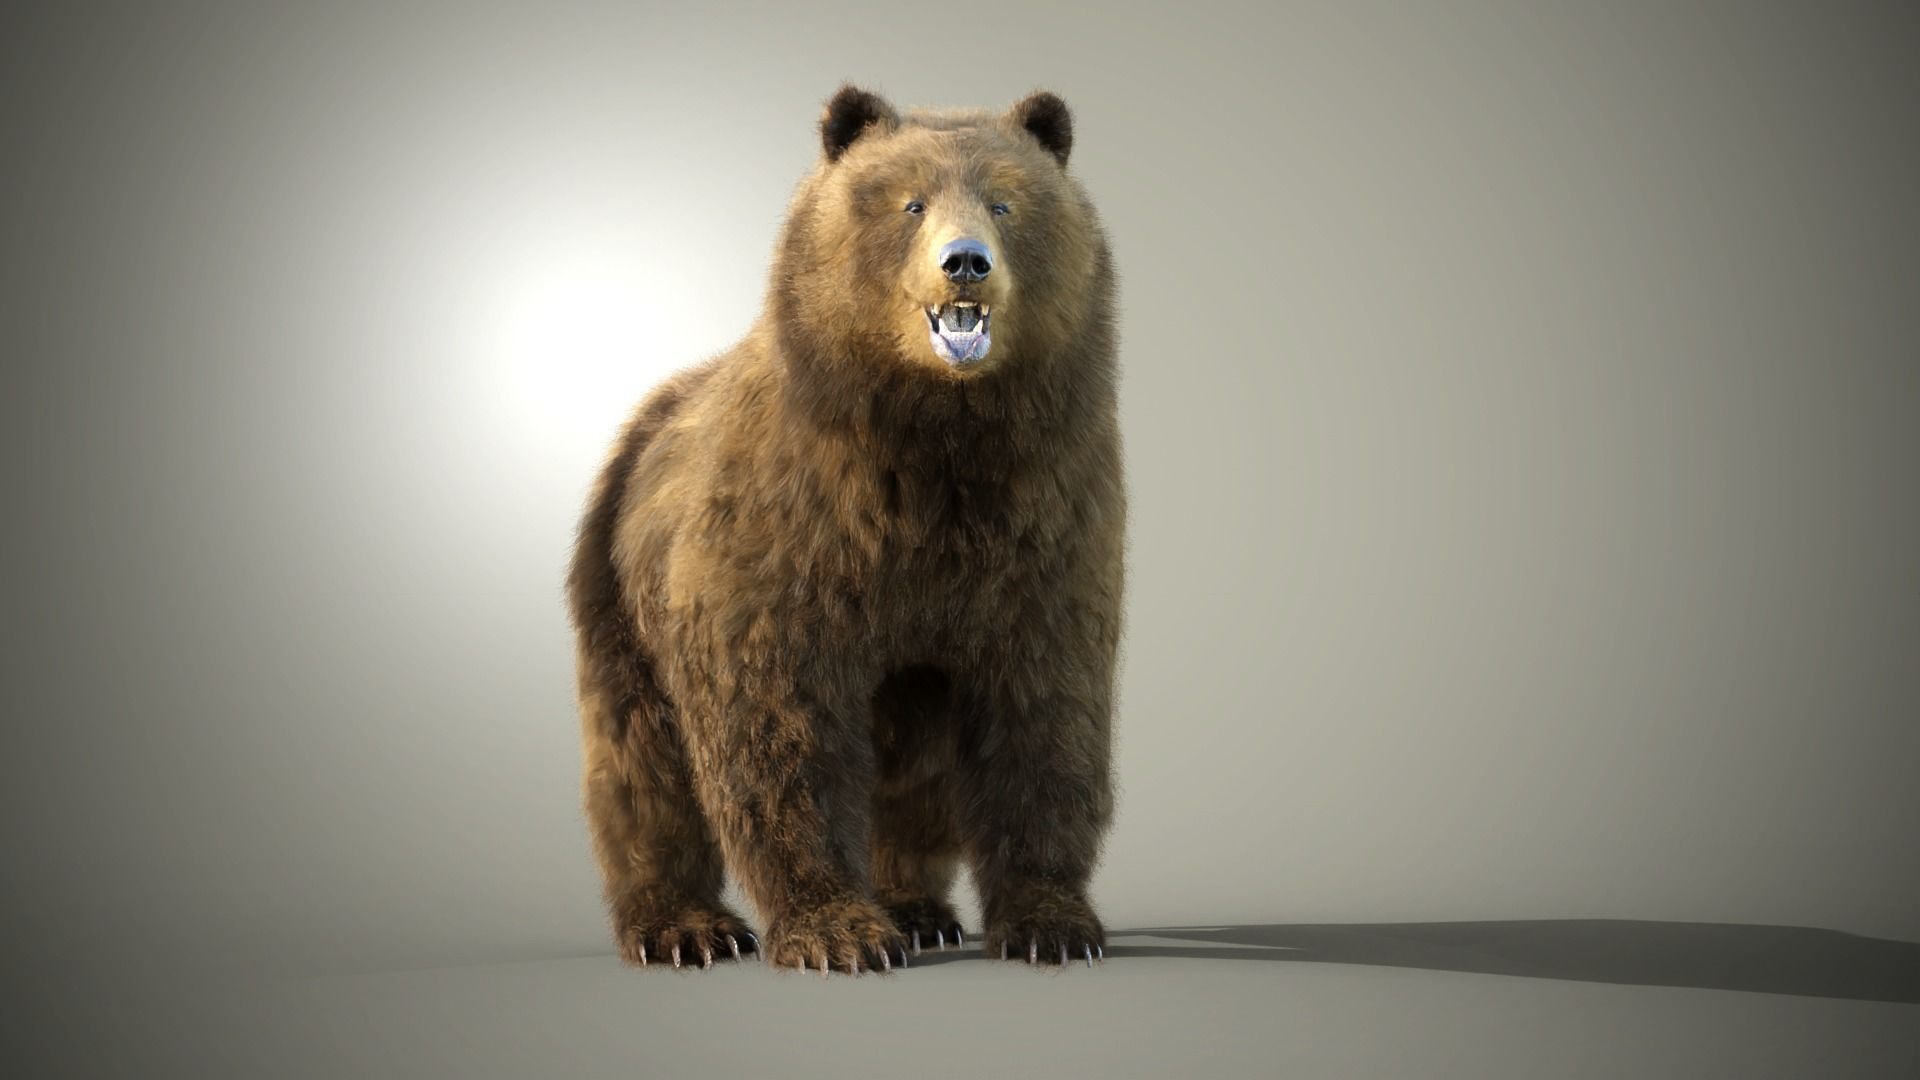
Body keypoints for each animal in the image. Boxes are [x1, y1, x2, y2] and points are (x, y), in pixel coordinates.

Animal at [566, 84, 1123, 975]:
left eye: (1005, 201)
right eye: (910, 203)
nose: (966, 261)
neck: (935, 444)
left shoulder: (1046, 520)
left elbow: (1045, 711)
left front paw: (1053, 922)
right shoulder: (791, 532)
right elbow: (780, 727)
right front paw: (838, 932)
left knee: (915, 768)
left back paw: (916, 907)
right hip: (616, 589)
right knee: (639, 762)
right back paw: (684, 926)